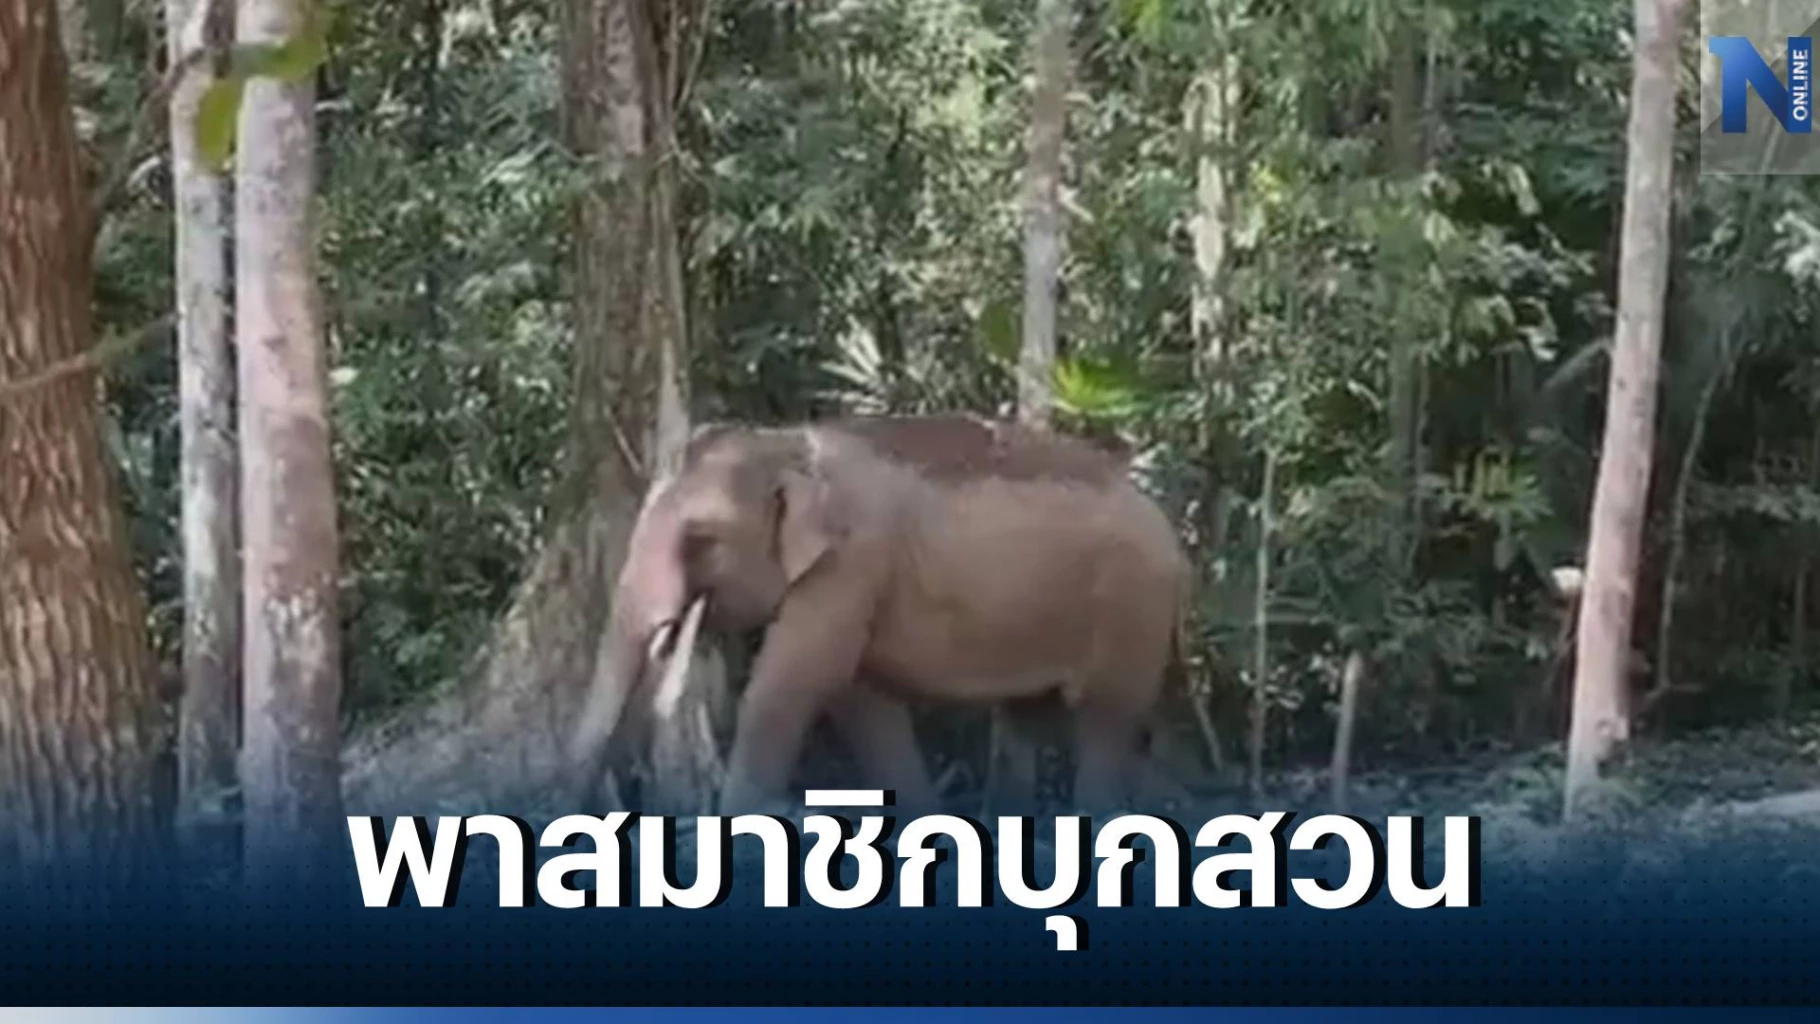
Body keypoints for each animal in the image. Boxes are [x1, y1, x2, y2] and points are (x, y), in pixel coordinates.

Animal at [566, 413, 1194, 815]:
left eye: (701, 540)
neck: (787, 444)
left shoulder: (851, 562)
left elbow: (791, 685)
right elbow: (859, 700)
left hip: (1134, 606)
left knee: (1107, 719)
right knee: (1029, 720)